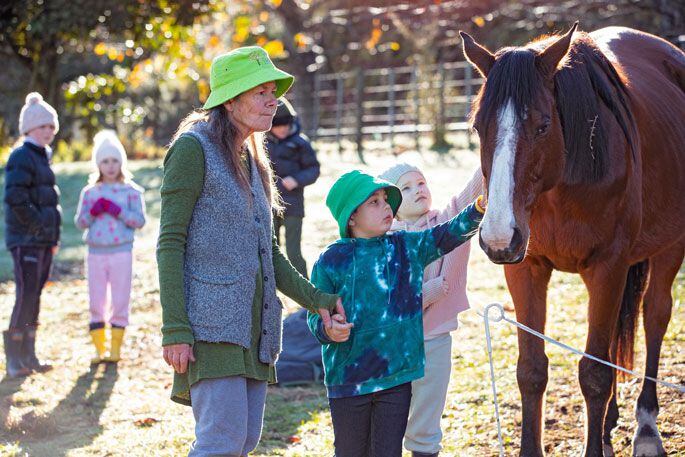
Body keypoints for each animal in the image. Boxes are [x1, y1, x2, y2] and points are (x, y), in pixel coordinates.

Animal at [460, 23, 684, 454]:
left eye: (543, 126)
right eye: (478, 127)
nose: (497, 236)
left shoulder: (608, 267)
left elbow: (595, 372)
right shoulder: (526, 268)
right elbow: (532, 371)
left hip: (670, 246)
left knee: (655, 317)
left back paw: (646, 427)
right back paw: (610, 424)